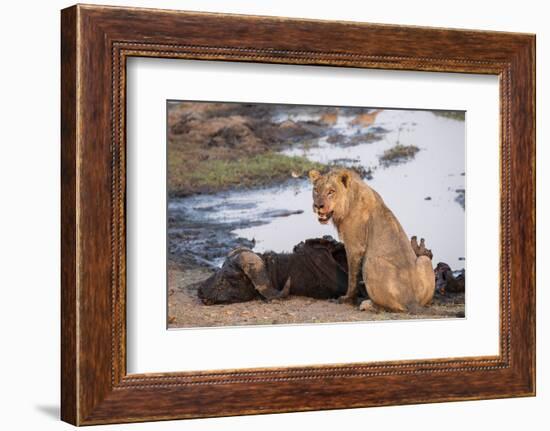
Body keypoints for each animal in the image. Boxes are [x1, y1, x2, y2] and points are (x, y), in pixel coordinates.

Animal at [310, 167, 436, 312]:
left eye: (331, 191)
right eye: (316, 190)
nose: (318, 205)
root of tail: (411, 301)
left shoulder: (354, 247)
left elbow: (352, 277)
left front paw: (347, 299)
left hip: (370, 262)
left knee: (391, 307)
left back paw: (367, 304)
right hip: (424, 260)